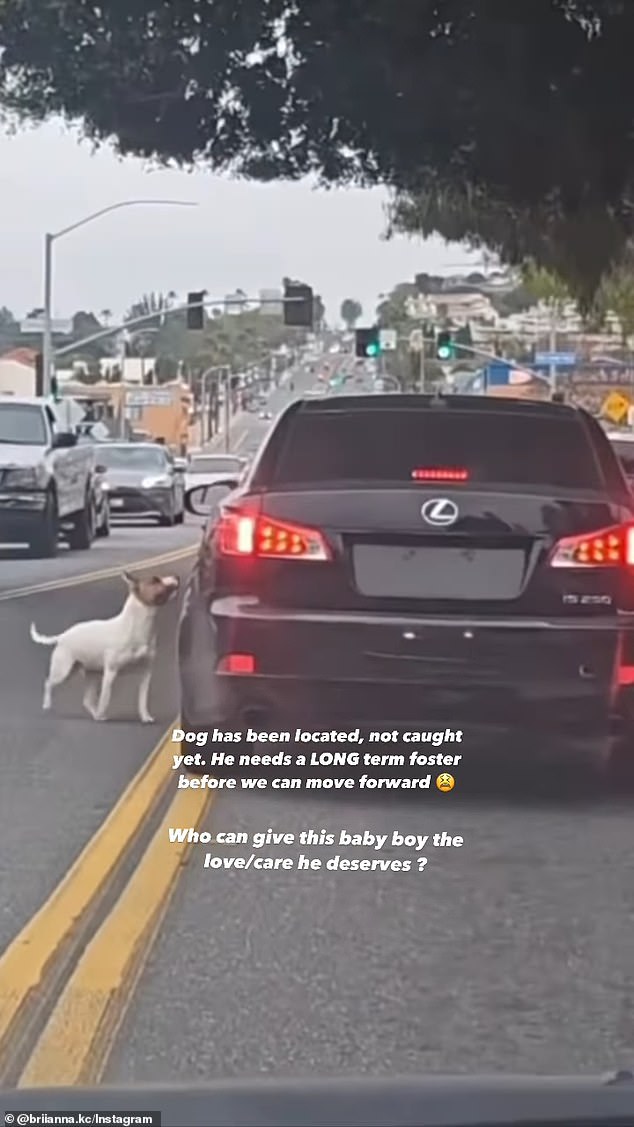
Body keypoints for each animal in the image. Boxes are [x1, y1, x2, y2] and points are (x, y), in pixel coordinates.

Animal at [31, 572, 181, 721]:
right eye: (155, 580)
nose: (177, 577)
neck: (138, 624)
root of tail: (63, 635)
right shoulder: (110, 672)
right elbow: (105, 697)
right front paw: (101, 712)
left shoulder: (146, 673)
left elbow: (142, 698)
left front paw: (145, 716)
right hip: (63, 671)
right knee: (48, 683)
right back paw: (47, 705)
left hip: (91, 673)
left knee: (87, 700)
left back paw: (95, 715)